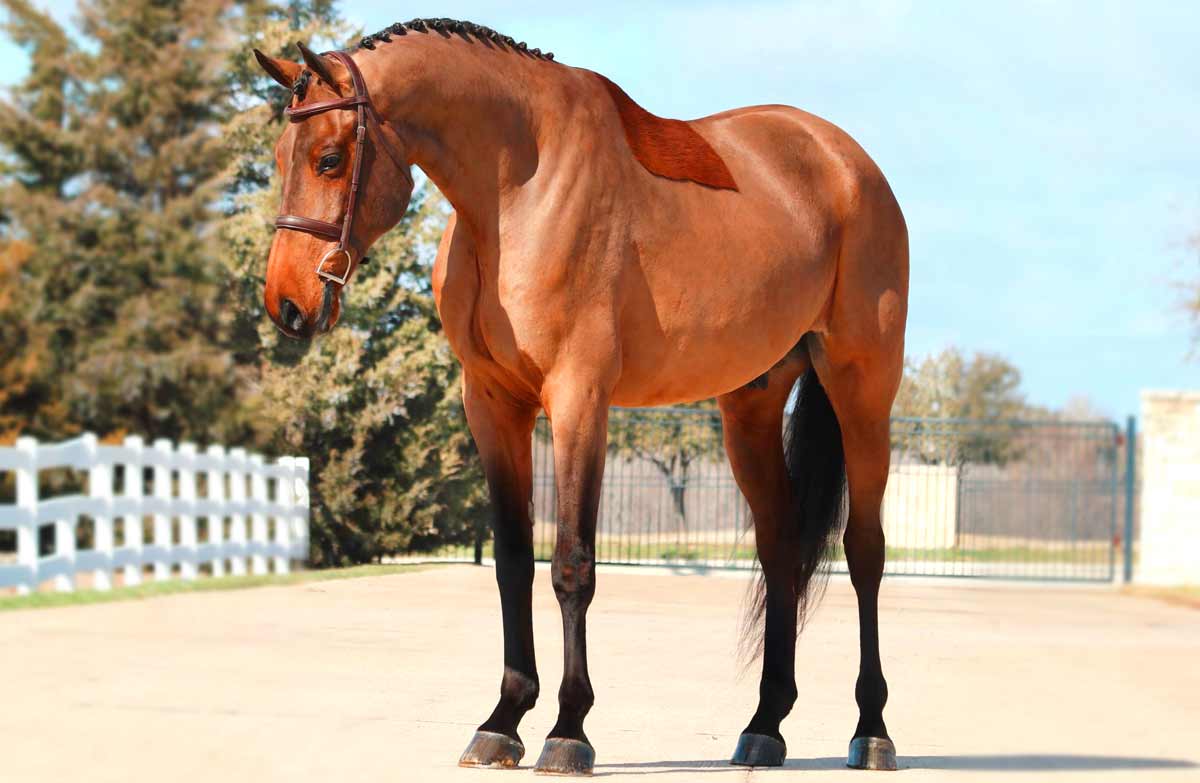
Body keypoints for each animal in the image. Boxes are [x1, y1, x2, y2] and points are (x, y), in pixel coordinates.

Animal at [254, 17, 908, 775]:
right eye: (281, 156)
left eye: (329, 158)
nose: (287, 304)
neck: (518, 187)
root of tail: (848, 162)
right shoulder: (493, 405)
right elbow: (513, 561)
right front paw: (502, 720)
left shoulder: (578, 399)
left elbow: (571, 563)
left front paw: (568, 728)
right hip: (751, 404)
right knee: (780, 547)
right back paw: (764, 725)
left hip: (863, 390)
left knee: (865, 551)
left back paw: (872, 729)